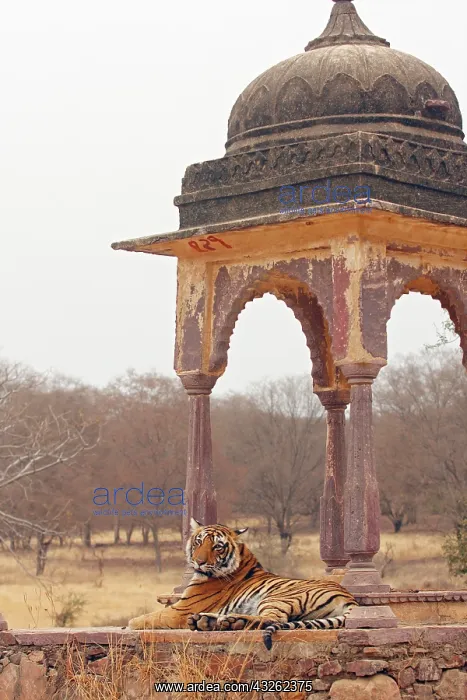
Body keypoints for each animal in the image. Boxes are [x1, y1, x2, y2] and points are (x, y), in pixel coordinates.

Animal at [129, 519, 357, 649]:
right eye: (198, 542)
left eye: (217, 546)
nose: (199, 562)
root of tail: (349, 598)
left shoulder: (182, 609)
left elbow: (147, 617)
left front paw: (130, 623)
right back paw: (208, 622)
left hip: (277, 597)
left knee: (270, 619)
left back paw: (230, 622)